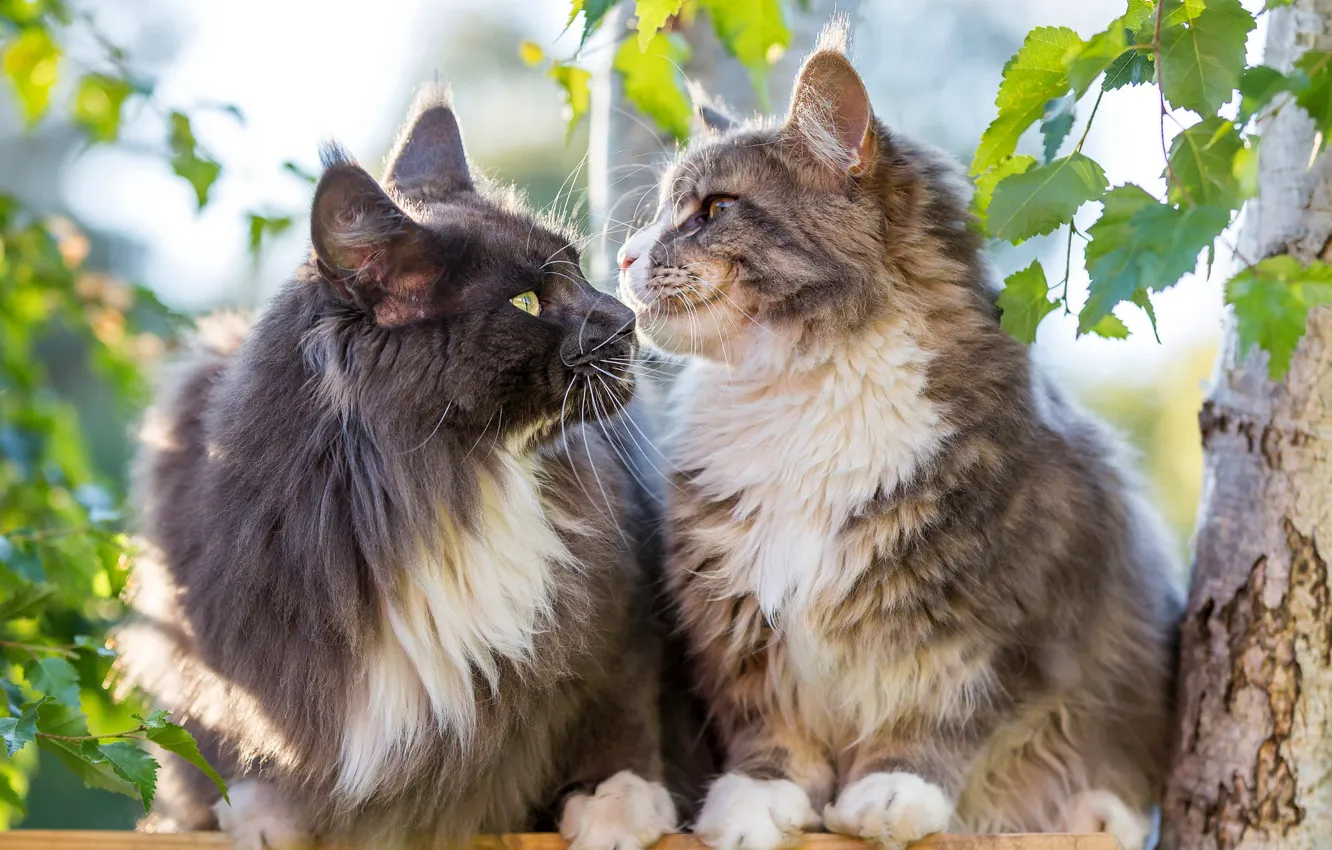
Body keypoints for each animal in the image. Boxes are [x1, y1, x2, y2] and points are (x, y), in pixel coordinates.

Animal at [114, 87, 676, 850]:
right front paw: (259, 815)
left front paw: (618, 805)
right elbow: (233, 747)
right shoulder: (220, 642)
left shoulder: (619, 616)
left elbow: (617, 717)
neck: (448, 488)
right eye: (526, 302)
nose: (625, 319)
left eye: (580, 271)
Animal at [618, 18, 1182, 850]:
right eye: (664, 211)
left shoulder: (1005, 616)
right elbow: (769, 728)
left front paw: (892, 792)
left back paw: (1093, 814)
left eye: (715, 210)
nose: (626, 255)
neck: (800, 394)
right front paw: (754, 803)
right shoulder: (738, 611)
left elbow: (943, 717)